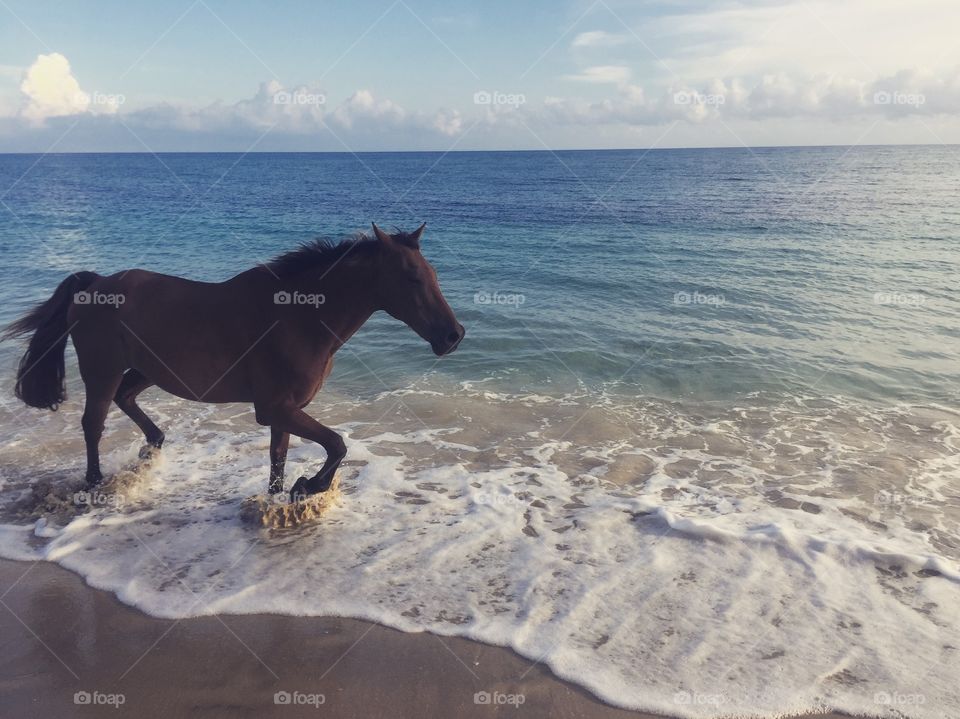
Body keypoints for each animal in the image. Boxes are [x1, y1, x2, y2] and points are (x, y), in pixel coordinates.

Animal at [5, 223, 464, 502]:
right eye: (411, 277)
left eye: (434, 274)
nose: (453, 335)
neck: (298, 316)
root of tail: (95, 283)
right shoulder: (274, 408)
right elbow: (337, 444)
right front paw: (309, 486)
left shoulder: (285, 410)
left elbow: (279, 458)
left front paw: (281, 497)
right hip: (102, 370)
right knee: (93, 423)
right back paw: (96, 483)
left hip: (147, 370)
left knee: (126, 399)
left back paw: (153, 446)